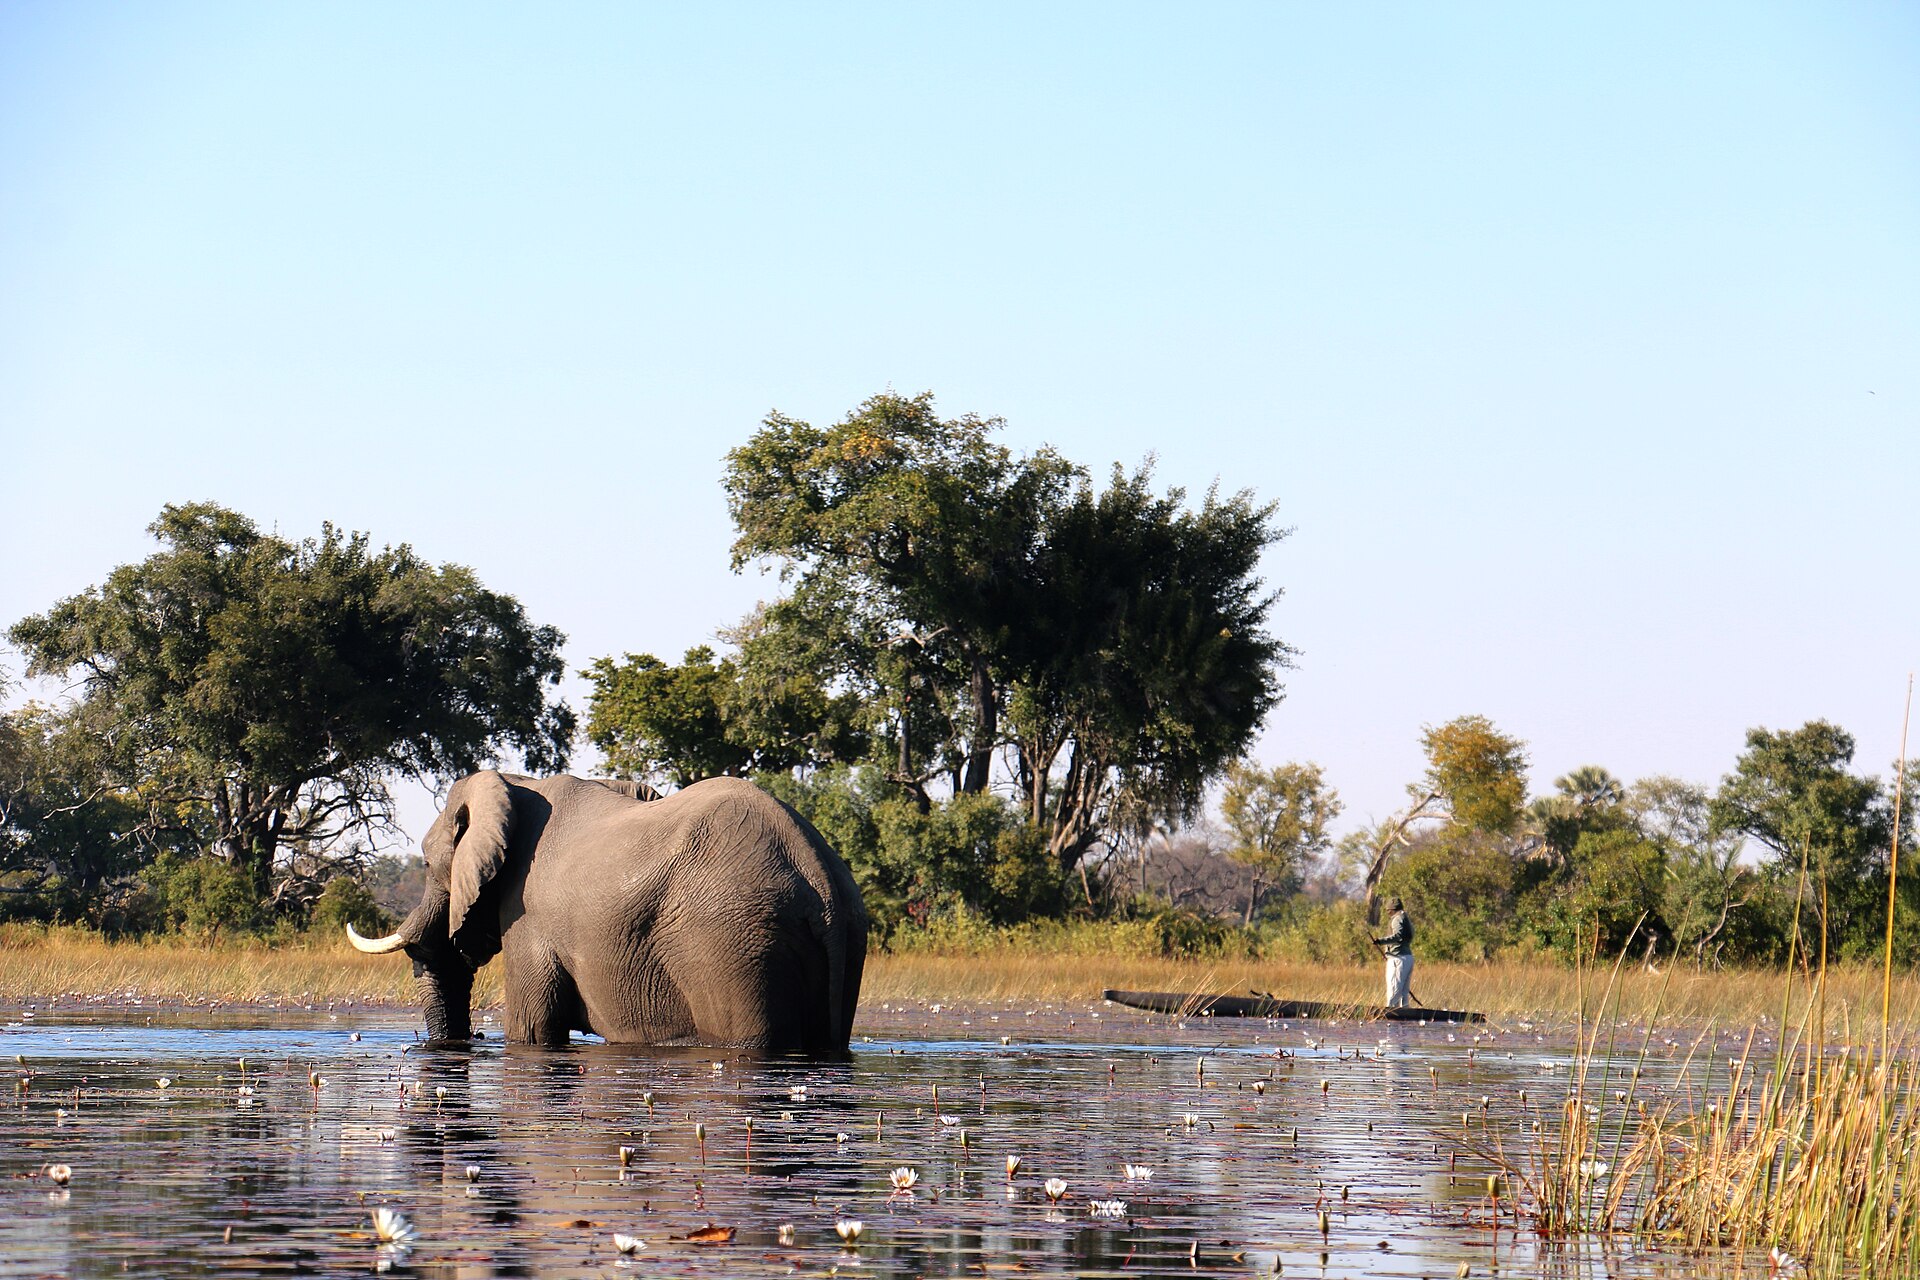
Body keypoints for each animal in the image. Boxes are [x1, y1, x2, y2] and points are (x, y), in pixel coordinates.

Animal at [346, 770, 867, 1052]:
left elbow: (531, 1030)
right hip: (841, 938)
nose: (460, 1042)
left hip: (734, 942)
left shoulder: (528, 916)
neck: (517, 785)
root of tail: (819, 875)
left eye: (426, 863)